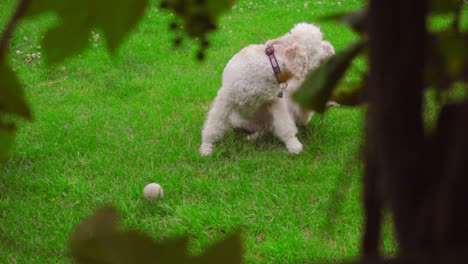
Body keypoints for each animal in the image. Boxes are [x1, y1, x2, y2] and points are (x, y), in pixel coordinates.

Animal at [199, 23, 334, 157]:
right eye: (319, 43)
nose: (332, 49)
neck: (270, 65)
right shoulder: (225, 99)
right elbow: (213, 125)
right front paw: (206, 146)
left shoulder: (275, 102)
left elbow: (285, 125)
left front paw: (293, 144)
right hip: (239, 120)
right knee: (264, 129)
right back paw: (253, 137)